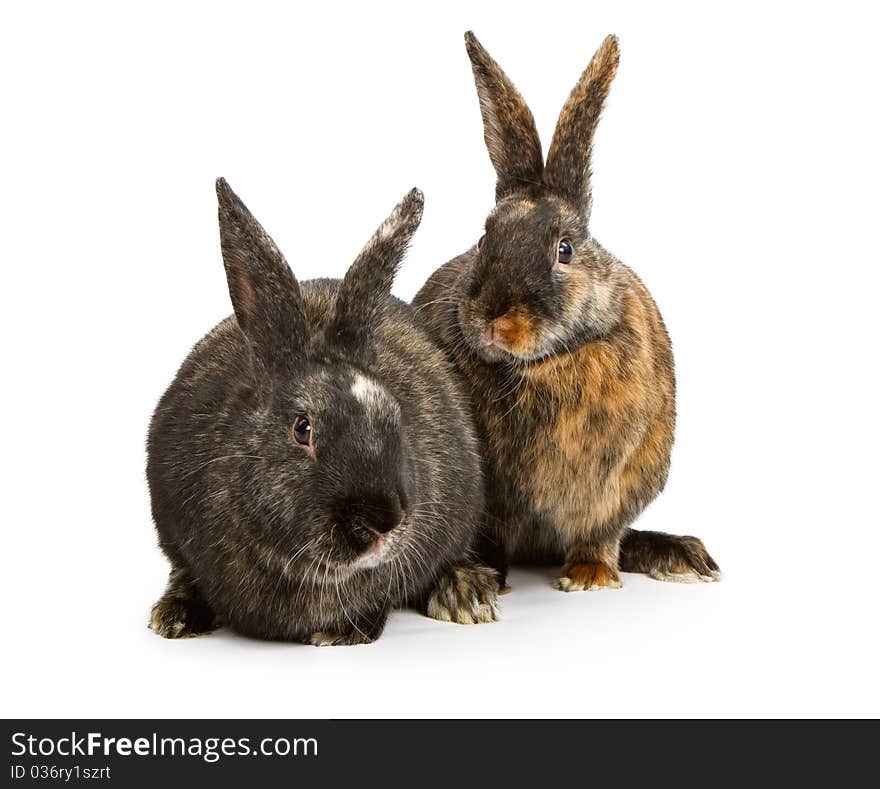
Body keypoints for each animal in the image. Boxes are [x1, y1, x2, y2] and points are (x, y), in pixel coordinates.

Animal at [148, 180, 498, 648]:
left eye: (394, 416)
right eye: (303, 428)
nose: (382, 522)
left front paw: (340, 633)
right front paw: (175, 616)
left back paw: (467, 595)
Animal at [412, 33, 716, 588]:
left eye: (565, 250)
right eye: (485, 238)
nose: (495, 319)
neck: (543, 365)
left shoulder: (614, 491)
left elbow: (600, 535)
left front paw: (589, 576)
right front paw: (479, 578)